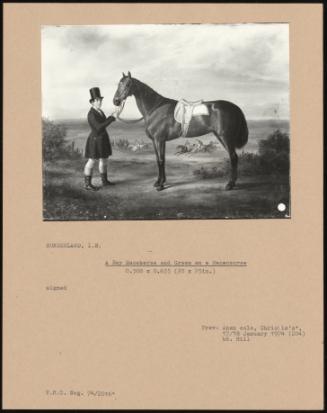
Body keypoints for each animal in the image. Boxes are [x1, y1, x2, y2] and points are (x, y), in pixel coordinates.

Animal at [113, 71, 249, 191]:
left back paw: (230, 185)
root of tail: (234, 107)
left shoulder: (159, 140)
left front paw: (161, 186)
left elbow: (161, 160)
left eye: (128, 84)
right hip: (220, 136)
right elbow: (159, 160)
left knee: (233, 157)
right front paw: (159, 182)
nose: (116, 101)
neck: (155, 108)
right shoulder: (156, 141)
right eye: (118, 84)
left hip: (226, 137)